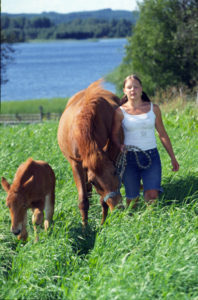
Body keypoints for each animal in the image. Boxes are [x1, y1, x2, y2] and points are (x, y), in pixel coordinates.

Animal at [57, 79, 122, 225]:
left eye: (115, 172)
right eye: (94, 182)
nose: (117, 207)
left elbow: (102, 200)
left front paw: (103, 223)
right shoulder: (76, 164)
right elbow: (83, 200)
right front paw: (85, 227)